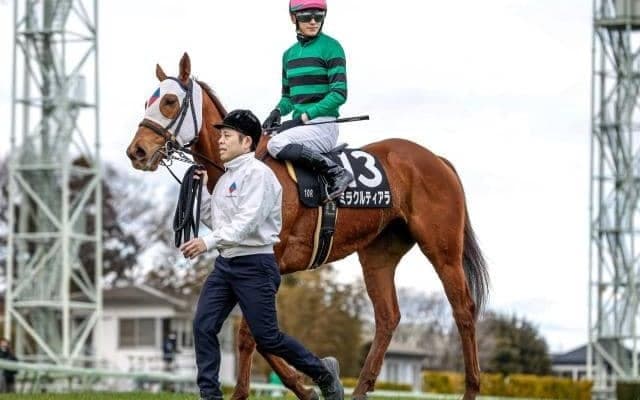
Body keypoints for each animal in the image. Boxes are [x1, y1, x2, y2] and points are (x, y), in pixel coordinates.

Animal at [126, 53, 489, 400]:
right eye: (146, 102)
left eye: (169, 101)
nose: (136, 151)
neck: (245, 164)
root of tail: (437, 159)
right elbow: (260, 335)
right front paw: (312, 384)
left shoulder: (269, 261)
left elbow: (253, 334)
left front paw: (260, 391)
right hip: (378, 254)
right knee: (388, 317)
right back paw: (360, 389)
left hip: (442, 250)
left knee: (463, 309)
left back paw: (471, 389)